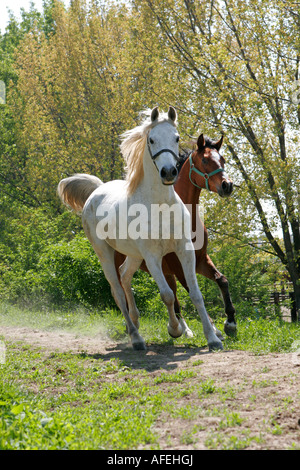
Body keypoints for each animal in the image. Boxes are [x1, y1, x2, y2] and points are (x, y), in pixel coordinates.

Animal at [58, 104, 223, 350]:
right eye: (152, 139)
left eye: (176, 137)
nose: (168, 172)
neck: (160, 207)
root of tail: (96, 191)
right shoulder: (154, 256)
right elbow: (167, 295)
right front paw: (175, 330)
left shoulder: (185, 251)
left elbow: (195, 294)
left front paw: (213, 338)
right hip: (105, 253)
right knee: (117, 290)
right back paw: (136, 337)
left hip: (134, 255)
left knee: (125, 276)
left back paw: (134, 323)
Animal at [115, 133, 237, 338]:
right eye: (205, 160)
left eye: (223, 160)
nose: (227, 185)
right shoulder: (179, 266)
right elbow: (191, 290)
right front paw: (214, 329)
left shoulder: (201, 260)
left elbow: (222, 280)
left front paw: (230, 323)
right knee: (122, 288)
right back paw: (131, 324)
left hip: (165, 271)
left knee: (173, 297)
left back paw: (183, 329)